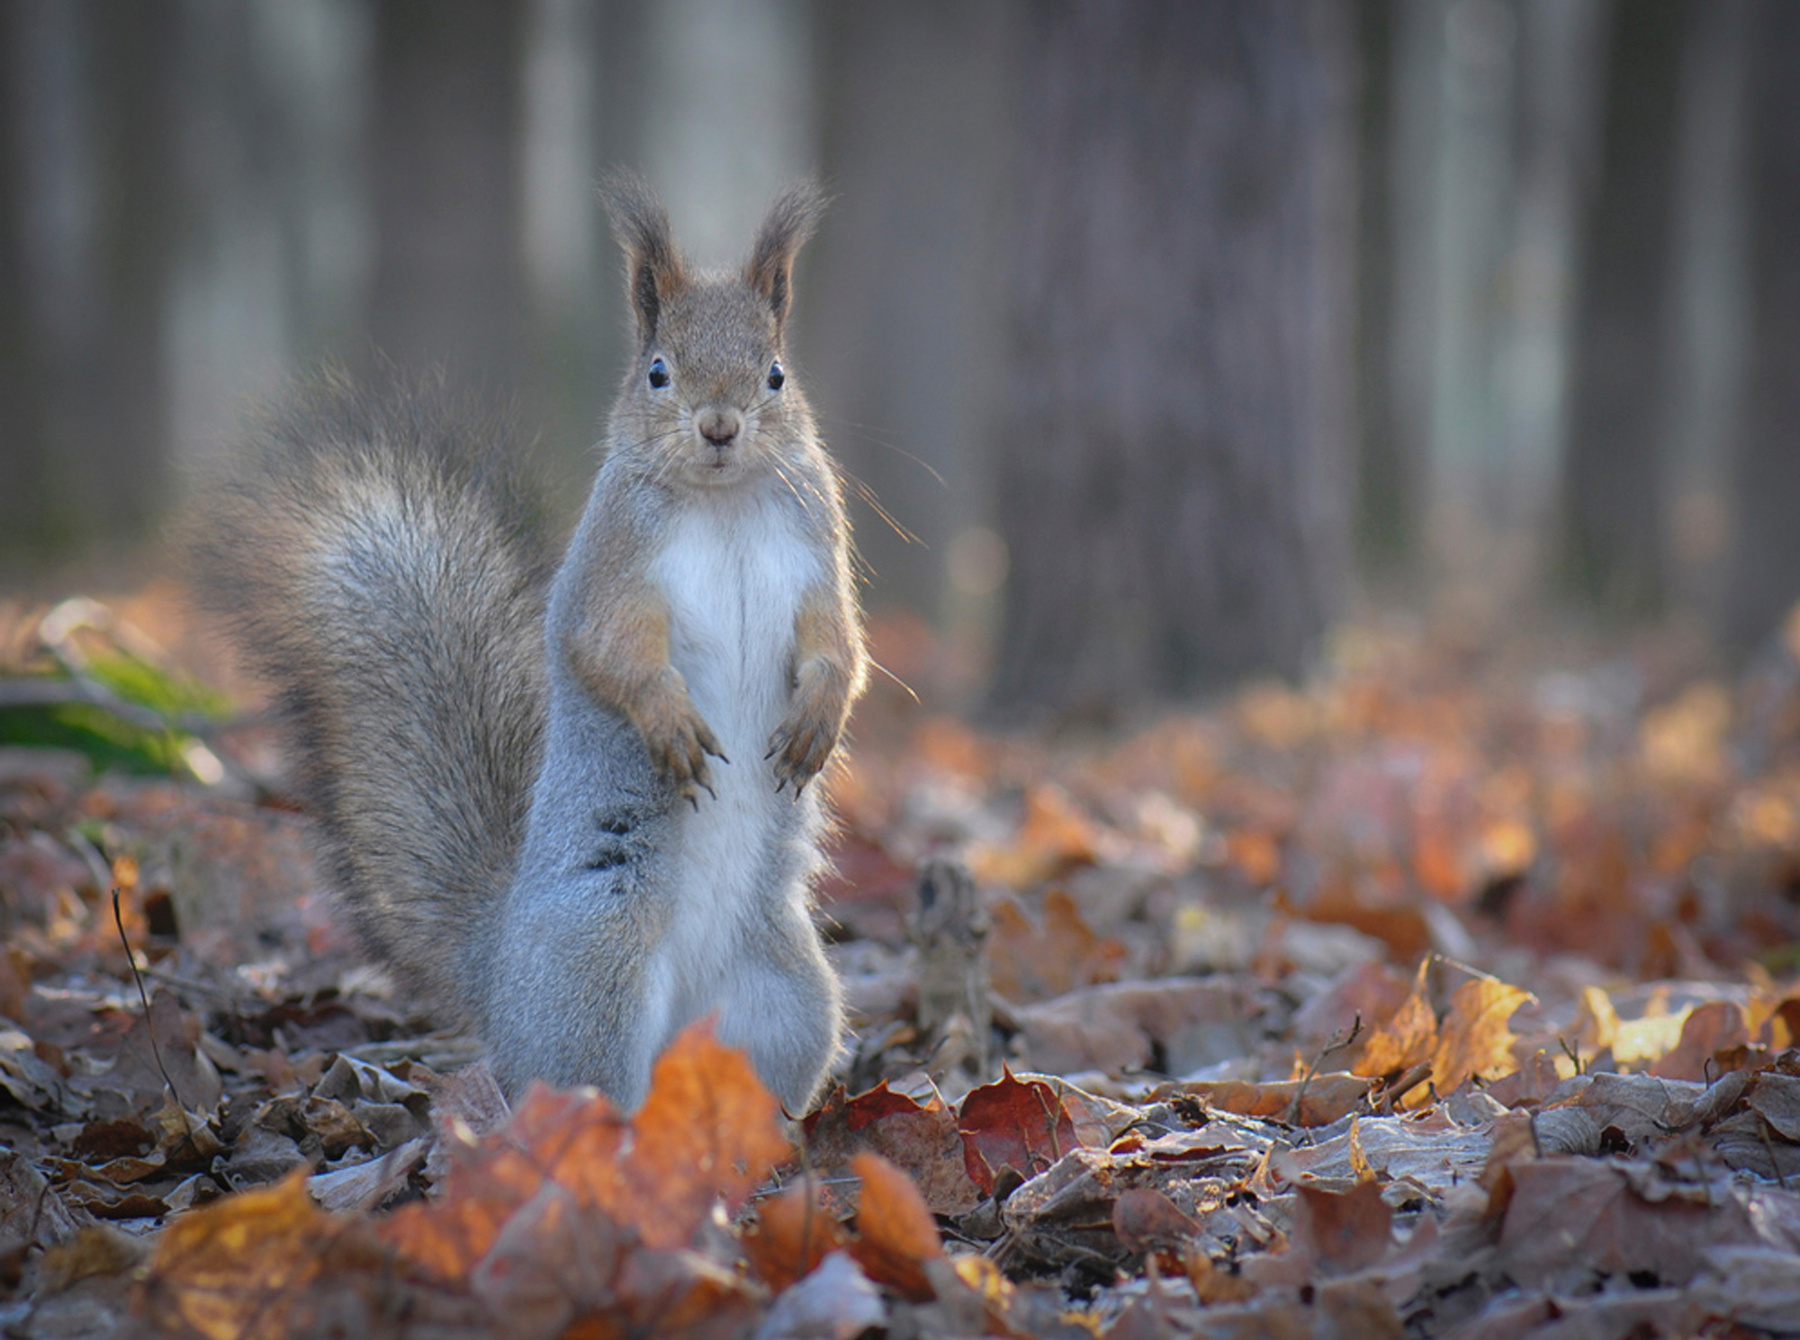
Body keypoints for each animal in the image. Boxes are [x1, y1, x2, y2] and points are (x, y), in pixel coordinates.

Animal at [190, 174, 867, 1113]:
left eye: (775, 373)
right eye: (658, 373)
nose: (720, 426)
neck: (724, 502)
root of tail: (501, 968)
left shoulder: (815, 550)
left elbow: (840, 643)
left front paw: (820, 718)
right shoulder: (610, 566)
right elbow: (605, 647)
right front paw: (667, 719)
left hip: (789, 998)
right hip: (597, 966)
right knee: (580, 1083)